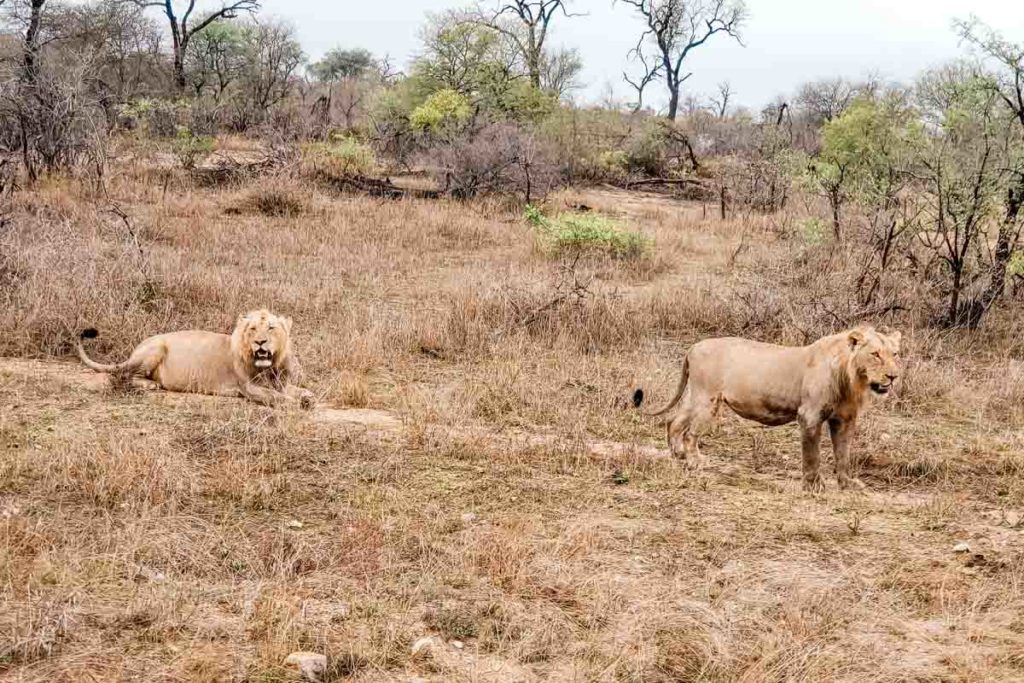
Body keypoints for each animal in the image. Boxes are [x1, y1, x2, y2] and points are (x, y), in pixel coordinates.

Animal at [77, 311, 311, 411]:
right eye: (252, 328)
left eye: (271, 327)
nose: (260, 342)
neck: (270, 367)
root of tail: (136, 348)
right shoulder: (249, 388)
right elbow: (275, 397)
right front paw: (294, 404)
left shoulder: (280, 383)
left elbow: (295, 390)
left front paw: (307, 398)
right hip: (156, 348)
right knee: (125, 375)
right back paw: (151, 384)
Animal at [638, 327, 905, 491]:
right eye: (875, 354)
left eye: (895, 354)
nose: (893, 376)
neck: (852, 379)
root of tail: (693, 347)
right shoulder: (809, 415)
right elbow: (812, 455)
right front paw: (813, 485)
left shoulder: (845, 419)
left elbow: (843, 454)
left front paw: (848, 483)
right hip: (707, 399)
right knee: (691, 432)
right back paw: (694, 461)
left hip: (696, 397)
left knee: (674, 421)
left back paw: (678, 455)